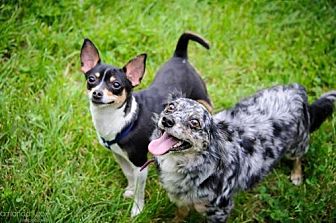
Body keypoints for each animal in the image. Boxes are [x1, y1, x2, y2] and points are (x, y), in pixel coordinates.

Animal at [79, 31, 211, 216]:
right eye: (91, 79)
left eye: (116, 85)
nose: (97, 93)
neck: (118, 119)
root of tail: (180, 56)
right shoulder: (120, 156)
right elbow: (129, 175)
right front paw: (130, 189)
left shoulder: (140, 163)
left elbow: (139, 190)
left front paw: (137, 209)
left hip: (203, 98)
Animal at [149, 84, 336, 222]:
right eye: (170, 107)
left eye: (194, 123)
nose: (167, 120)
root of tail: (298, 90)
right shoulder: (182, 200)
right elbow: (180, 214)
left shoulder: (220, 210)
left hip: (298, 143)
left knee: (298, 157)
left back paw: (296, 175)